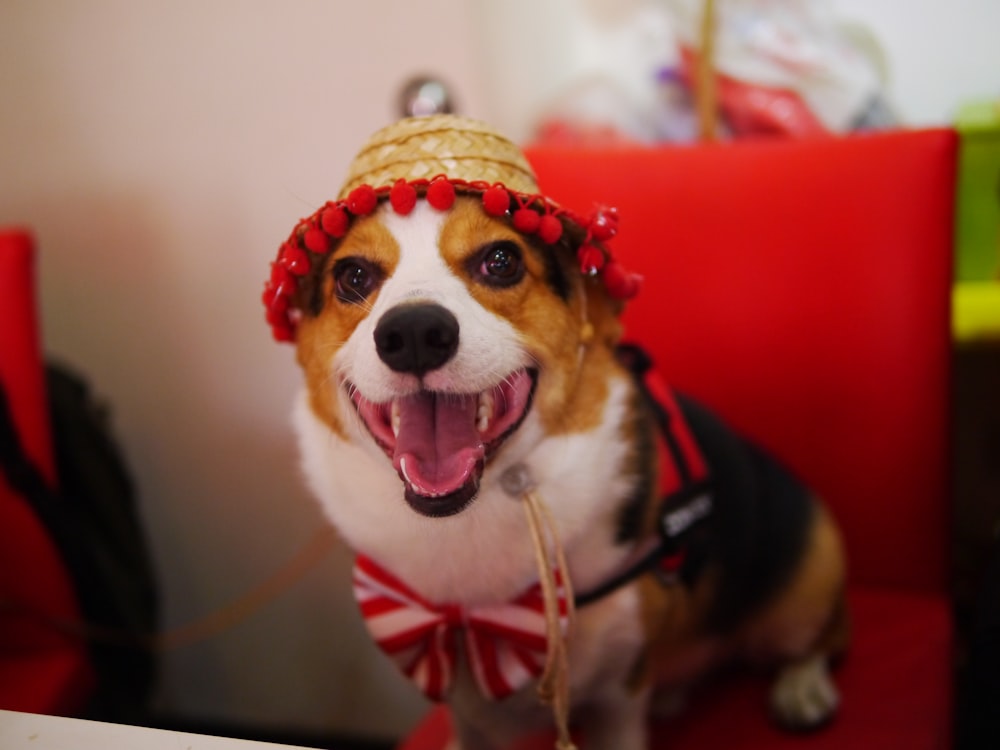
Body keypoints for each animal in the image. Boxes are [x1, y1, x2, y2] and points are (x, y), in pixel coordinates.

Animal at [262, 113, 848, 750]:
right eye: (352, 275)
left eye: (501, 261)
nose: (414, 333)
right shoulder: (466, 703)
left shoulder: (620, 691)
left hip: (804, 583)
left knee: (824, 638)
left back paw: (802, 688)